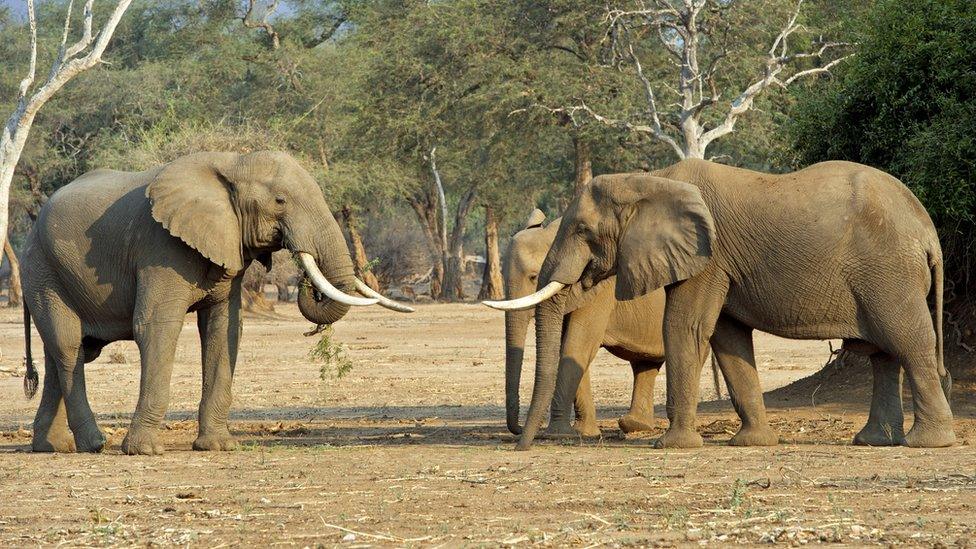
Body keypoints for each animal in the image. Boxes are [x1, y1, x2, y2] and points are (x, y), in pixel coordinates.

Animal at [20, 151, 413, 455]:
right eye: (280, 201)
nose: (304, 278)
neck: (233, 163)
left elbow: (224, 329)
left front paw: (219, 446)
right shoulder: (159, 247)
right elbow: (156, 327)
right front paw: (145, 451)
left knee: (61, 353)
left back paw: (52, 447)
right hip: (42, 269)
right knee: (69, 346)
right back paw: (94, 444)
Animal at [488, 159, 954, 450]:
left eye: (583, 230)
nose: (520, 449)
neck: (650, 180)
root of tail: (928, 231)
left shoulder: (708, 257)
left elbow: (684, 327)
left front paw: (671, 446)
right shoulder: (721, 265)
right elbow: (727, 340)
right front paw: (752, 443)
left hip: (888, 272)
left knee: (908, 342)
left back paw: (927, 443)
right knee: (883, 354)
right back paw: (874, 441)